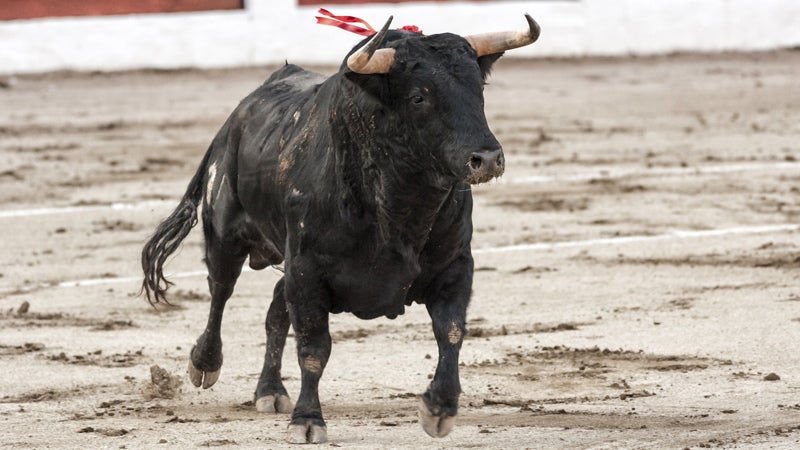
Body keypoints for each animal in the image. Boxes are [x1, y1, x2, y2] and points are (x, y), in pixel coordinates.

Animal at [142, 14, 544, 442]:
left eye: (477, 88)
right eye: (419, 97)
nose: (487, 158)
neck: (400, 206)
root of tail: (237, 117)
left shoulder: (454, 265)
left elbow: (451, 331)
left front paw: (439, 408)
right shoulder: (307, 270)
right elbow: (314, 348)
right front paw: (307, 420)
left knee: (274, 312)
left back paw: (270, 391)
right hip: (225, 235)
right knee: (220, 291)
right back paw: (205, 364)